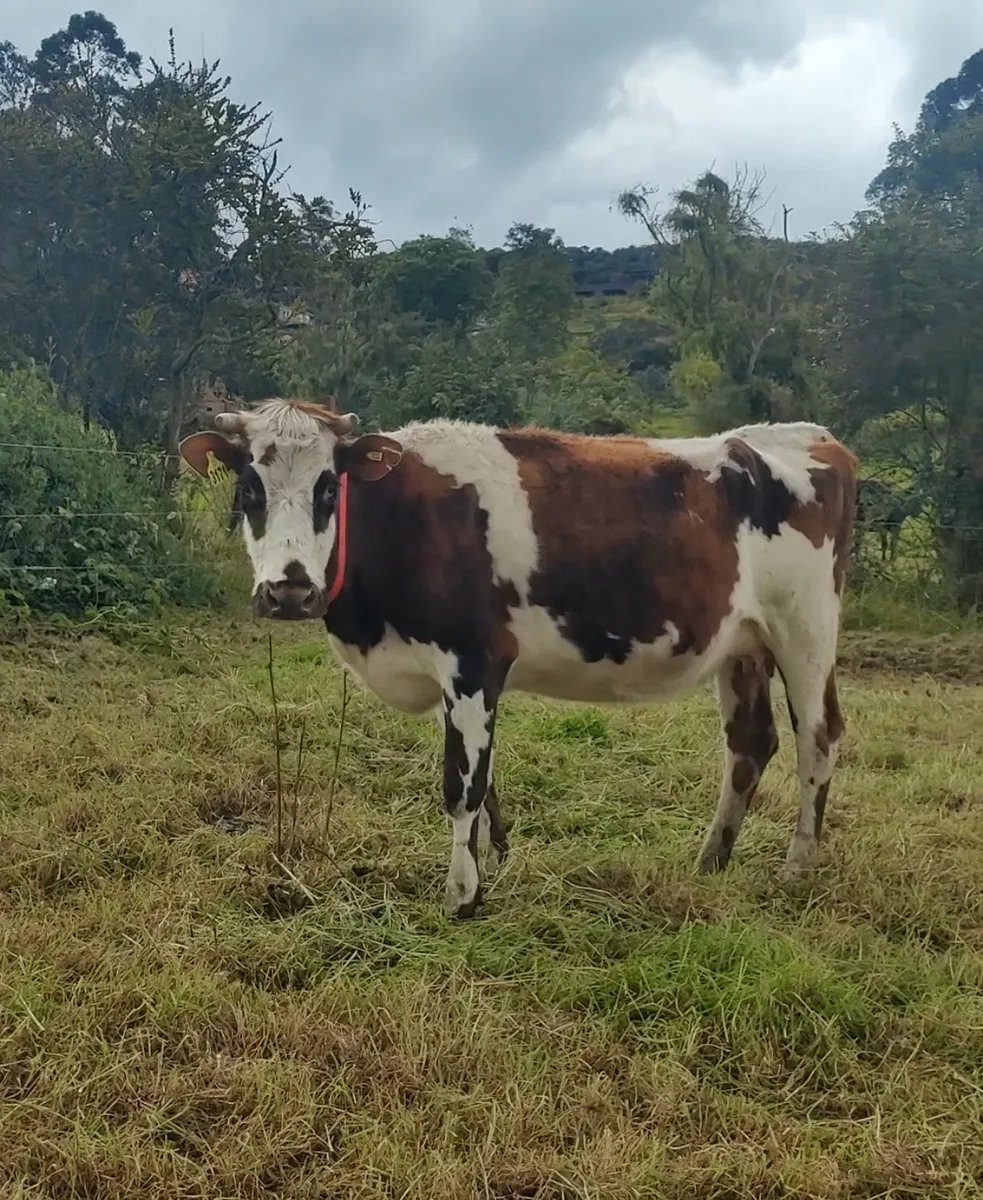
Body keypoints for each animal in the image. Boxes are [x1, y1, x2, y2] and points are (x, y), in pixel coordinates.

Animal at [179, 400, 858, 919]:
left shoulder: (473, 661)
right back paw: (711, 860)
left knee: (818, 736)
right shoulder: (450, 677)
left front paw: (462, 896)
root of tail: (807, 435)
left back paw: (798, 866)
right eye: (249, 488)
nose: (290, 590)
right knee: (750, 743)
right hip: (742, 644)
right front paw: (491, 861)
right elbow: (482, 783)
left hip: (805, 628)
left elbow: (461, 785)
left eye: (328, 487)